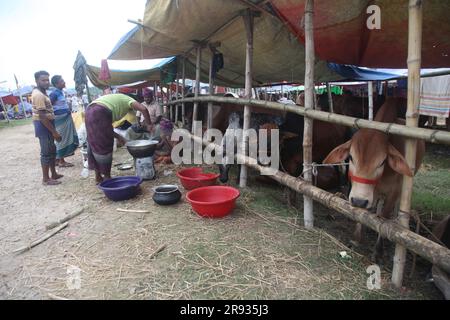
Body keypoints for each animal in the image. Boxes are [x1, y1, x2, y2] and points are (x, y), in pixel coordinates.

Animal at [324, 97, 426, 262]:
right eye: (351, 157)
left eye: (382, 162)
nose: (358, 201)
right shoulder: (369, 192)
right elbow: (365, 212)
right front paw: (356, 239)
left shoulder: (393, 193)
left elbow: (383, 218)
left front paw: (378, 250)